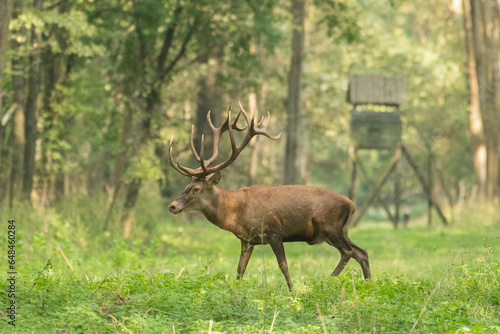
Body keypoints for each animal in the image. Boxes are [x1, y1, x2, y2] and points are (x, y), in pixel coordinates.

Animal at [168, 103, 372, 290]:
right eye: (186, 186)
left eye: (195, 189)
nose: (172, 206)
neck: (237, 213)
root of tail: (351, 205)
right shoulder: (247, 240)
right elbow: (240, 270)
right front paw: (236, 292)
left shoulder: (274, 232)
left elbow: (283, 266)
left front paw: (293, 292)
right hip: (340, 230)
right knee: (361, 252)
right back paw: (369, 284)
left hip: (329, 225)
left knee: (348, 252)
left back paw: (327, 281)